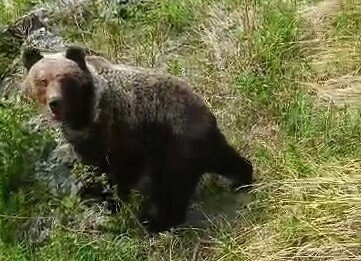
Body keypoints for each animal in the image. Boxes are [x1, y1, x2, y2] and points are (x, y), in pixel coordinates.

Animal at [21, 44, 253, 232]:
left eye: (64, 78)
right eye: (42, 80)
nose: (55, 102)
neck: (86, 116)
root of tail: (203, 108)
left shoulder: (123, 131)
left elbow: (120, 172)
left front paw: (113, 201)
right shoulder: (85, 142)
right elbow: (95, 168)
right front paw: (94, 192)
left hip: (174, 141)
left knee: (173, 186)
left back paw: (157, 221)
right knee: (223, 157)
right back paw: (241, 177)